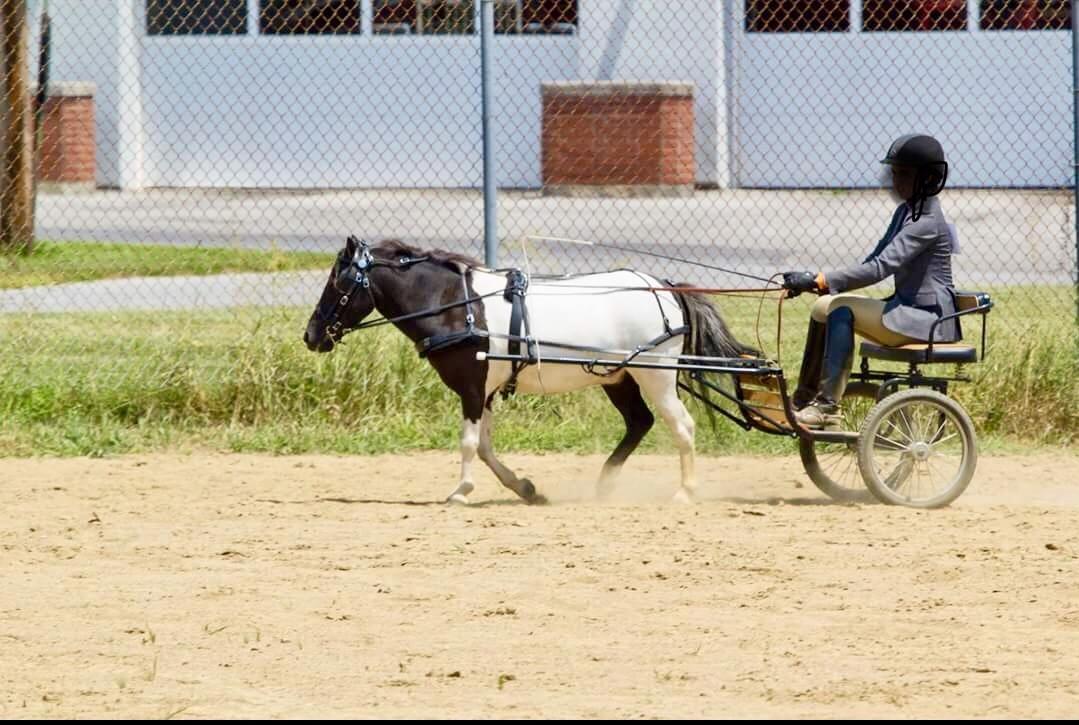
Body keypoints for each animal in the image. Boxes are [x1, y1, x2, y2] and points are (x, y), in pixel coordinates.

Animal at [308, 237, 755, 504]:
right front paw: (524, 487)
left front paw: (461, 491)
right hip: (618, 375)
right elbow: (485, 447)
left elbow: (469, 444)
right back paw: (604, 484)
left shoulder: (472, 388)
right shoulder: (485, 390)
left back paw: (685, 491)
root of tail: (663, 288)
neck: (458, 306)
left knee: (681, 426)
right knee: (638, 422)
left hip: (656, 374)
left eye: (338, 283)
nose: (311, 335)